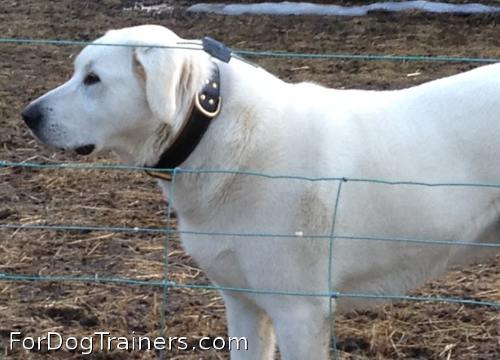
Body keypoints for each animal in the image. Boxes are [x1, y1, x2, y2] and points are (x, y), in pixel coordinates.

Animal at [21, 26, 498, 360]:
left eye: (93, 79)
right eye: (78, 72)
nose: (28, 115)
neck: (208, 125)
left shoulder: (299, 314)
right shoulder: (243, 305)